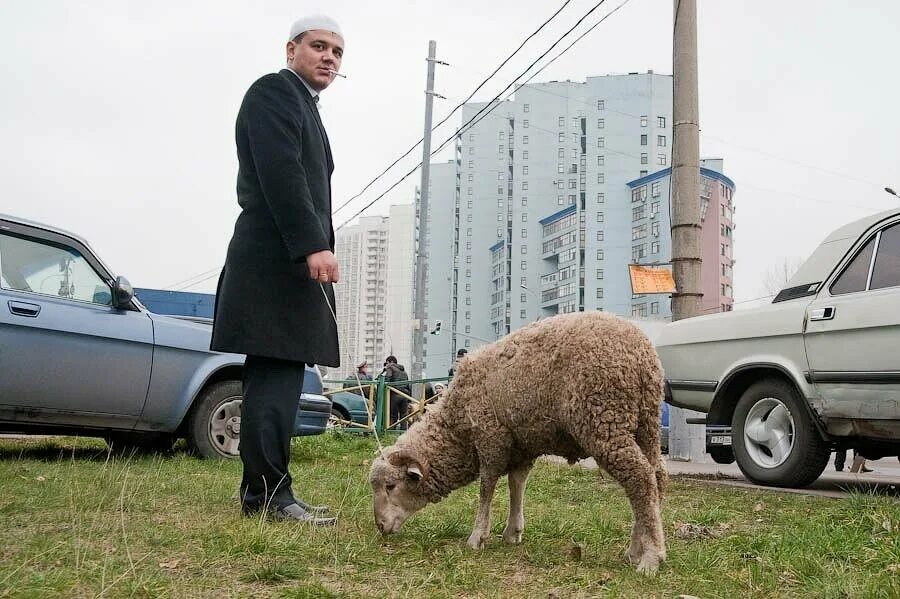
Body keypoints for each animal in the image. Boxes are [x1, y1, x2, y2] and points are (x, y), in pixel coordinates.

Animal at [368, 312, 668, 576]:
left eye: (390, 486)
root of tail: (642, 354)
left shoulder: (490, 438)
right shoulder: (521, 445)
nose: (380, 527)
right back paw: (637, 549)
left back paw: (651, 557)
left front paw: (478, 536)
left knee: (640, 478)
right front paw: (513, 532)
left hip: (604, 419)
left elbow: (487, 487)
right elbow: (517, 484)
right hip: (645, 424)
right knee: (655, 477)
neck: (456, 428)